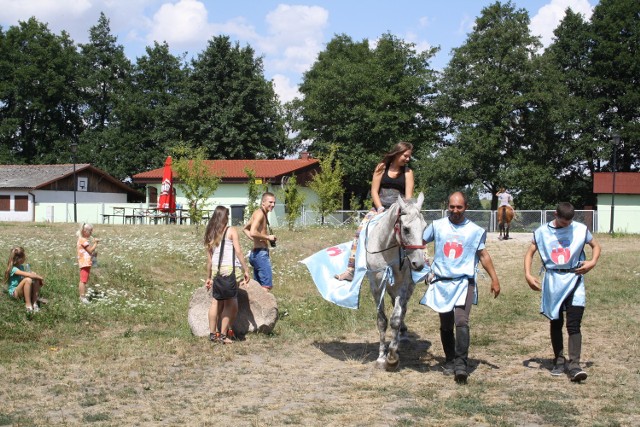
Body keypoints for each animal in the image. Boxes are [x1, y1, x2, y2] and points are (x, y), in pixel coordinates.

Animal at [364, 194, 424, 372]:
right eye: (406, 229)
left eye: (424, 227)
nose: (419, 264)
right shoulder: (376, 288)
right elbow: (382, 321)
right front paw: (381, 357)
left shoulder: (402, 286)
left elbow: (396, 319)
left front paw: (392, 357)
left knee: (403, 310)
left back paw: (401, 337)